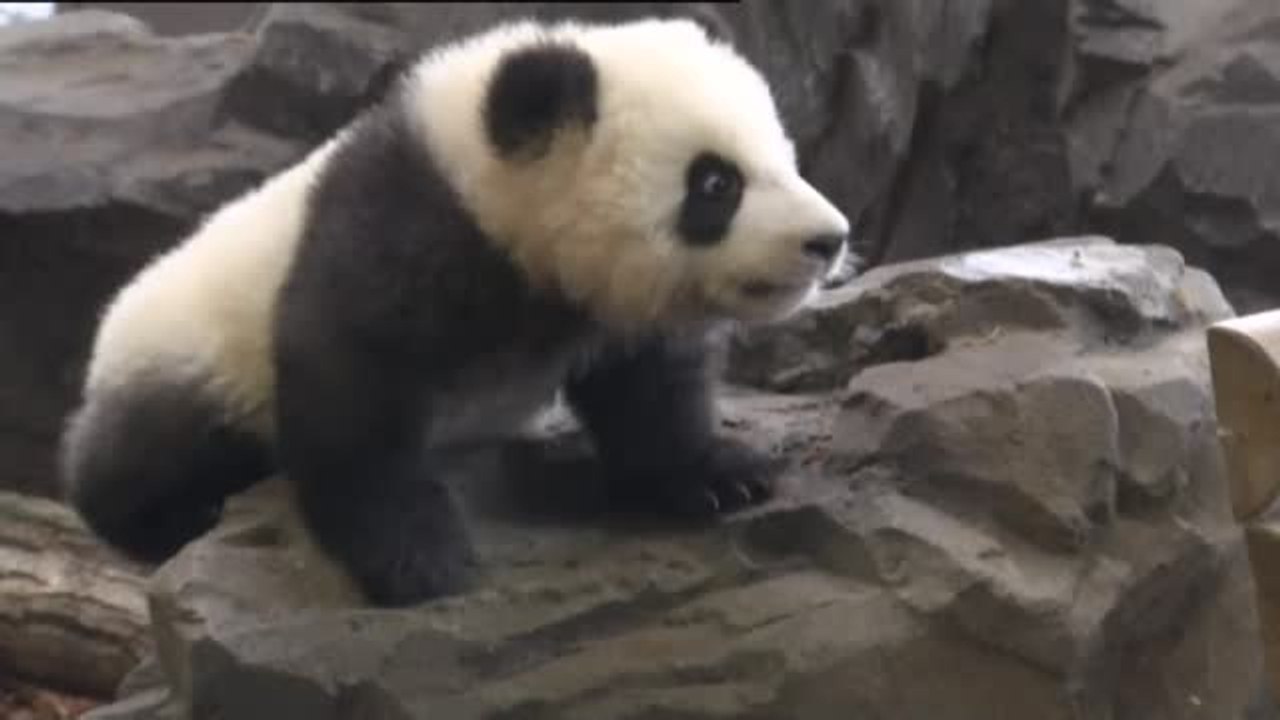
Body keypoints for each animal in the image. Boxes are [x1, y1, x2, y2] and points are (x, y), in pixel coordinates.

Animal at [58, 16, 853, 607]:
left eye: (786, 157)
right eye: (716, 183)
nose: (829, 240)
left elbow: (652, 390)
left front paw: (721, 473)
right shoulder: (399, 223)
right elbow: (349, 386)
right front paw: (418, 556)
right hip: (183, 356)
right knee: (141, 457)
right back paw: (171, 516)